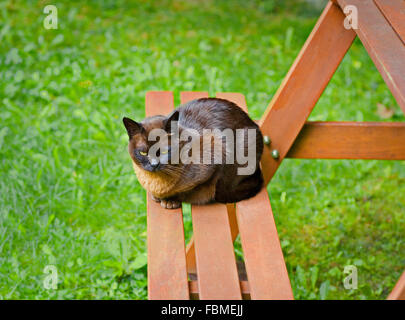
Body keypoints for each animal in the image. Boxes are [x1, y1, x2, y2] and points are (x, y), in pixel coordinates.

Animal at [121, 97, 264, 209]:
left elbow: (188, 192)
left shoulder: (216, 159)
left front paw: (169, 201)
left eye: (164, 151)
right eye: (143, 153)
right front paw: (157, 197)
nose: (154, 164)